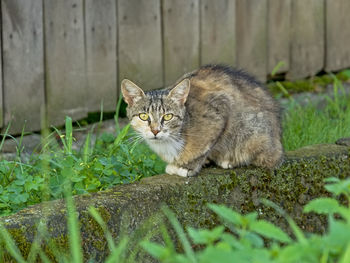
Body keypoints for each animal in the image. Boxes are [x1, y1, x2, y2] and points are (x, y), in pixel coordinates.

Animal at [121, 65, 284, 178]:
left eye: (168, 116)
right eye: (143, 116)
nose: (155, 130)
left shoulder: (221, 109)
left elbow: (204, 148)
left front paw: (188, 166)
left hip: (253, 133)